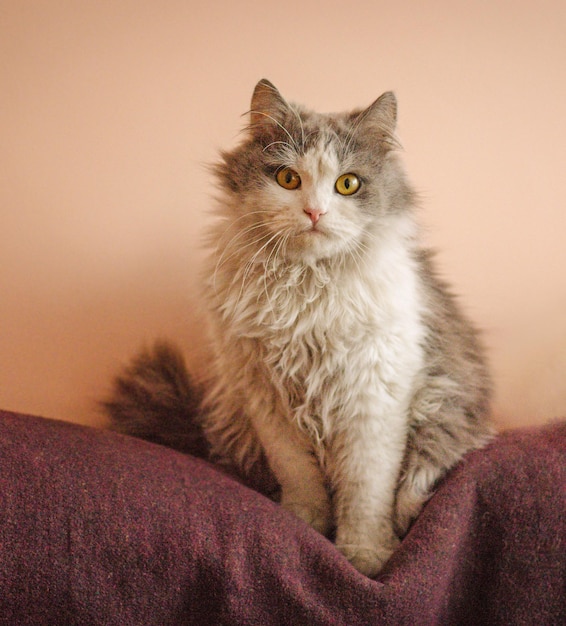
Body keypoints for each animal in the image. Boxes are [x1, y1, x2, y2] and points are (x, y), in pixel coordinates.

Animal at [104, 78, 494, 576]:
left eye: (348, 184)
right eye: (288, 179)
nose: (314, 213)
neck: (307, 290)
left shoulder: (374, 399)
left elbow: (366, 491)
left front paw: (366, 556)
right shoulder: (266, 399)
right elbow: (300, 477)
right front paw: (304, 528)